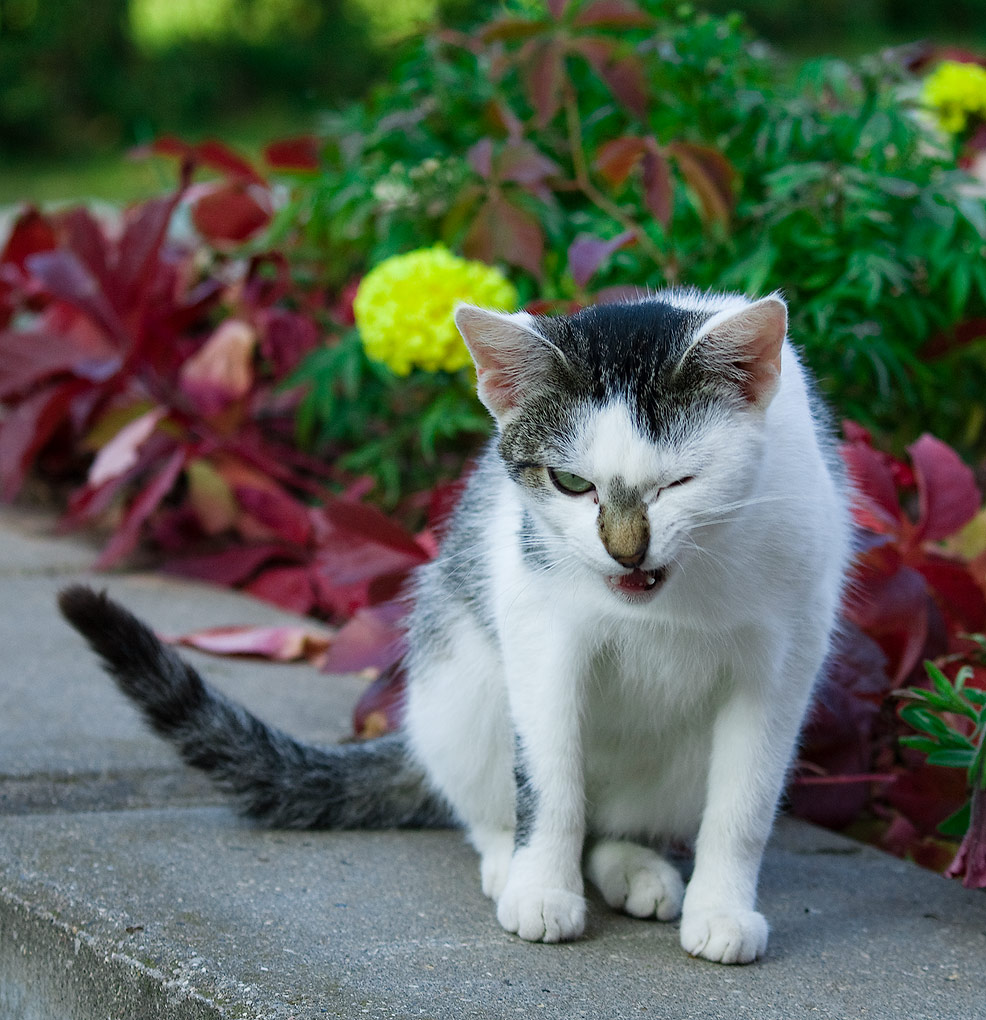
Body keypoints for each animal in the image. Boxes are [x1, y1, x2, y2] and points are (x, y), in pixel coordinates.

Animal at [57, 287, 852, 962]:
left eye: (680, 483)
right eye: (572, 483)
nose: (626, 550)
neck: (675, 592)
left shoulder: (789, 647)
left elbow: (744, 800)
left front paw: (723, 911)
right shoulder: (537, 612)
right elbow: (548, 771)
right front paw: (541, 887)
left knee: (617, 816)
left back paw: (632, 864)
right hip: (455, 676)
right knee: (490, 786)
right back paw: (511, 860)